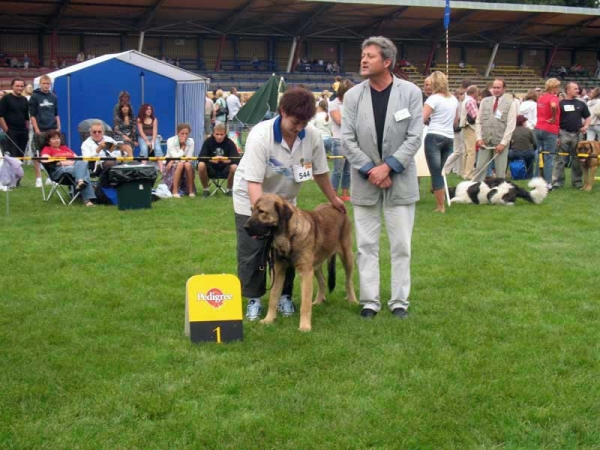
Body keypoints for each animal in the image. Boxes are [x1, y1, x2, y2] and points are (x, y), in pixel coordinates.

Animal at [244, 193, 356, 330]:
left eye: (261, 211)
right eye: (251, 210)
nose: (245, 227)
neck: (289, 237)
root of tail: (334, 206)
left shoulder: (305, 272)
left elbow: (305, 304)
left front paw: (305, 326)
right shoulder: (279, 271)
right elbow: (273, 298)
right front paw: (269, 319)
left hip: (347, 256)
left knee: (348, 280)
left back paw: (352, 300)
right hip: (316, 264)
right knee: (323, 281)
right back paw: (318, 301)